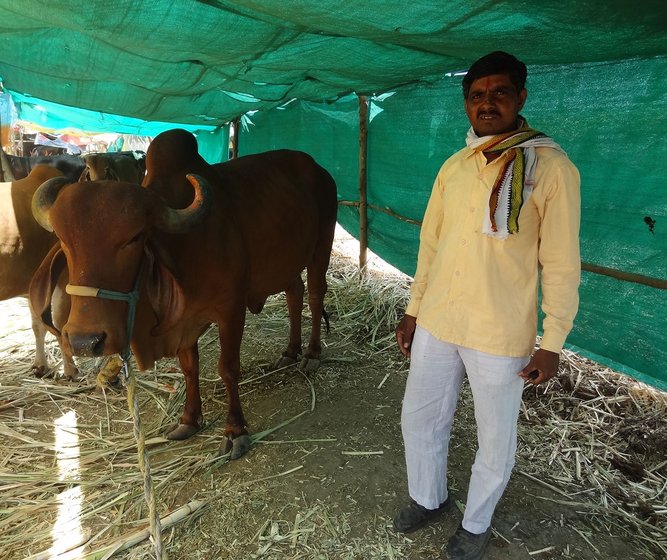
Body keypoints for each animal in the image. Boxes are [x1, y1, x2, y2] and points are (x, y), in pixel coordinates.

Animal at [30, 130, 340, 460]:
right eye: (63, 240)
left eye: (134, 238)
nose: (84, 342)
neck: (181, 249)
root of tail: (319, 170)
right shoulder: (183, 321)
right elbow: (190, 369)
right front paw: (189, 420)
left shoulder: (231, 310)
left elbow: (228, 369)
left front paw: (235, 431)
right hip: (286, 262)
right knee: (295, 294)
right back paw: (291, 351)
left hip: (321, 247)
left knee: (316, 295)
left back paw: (311, 353)